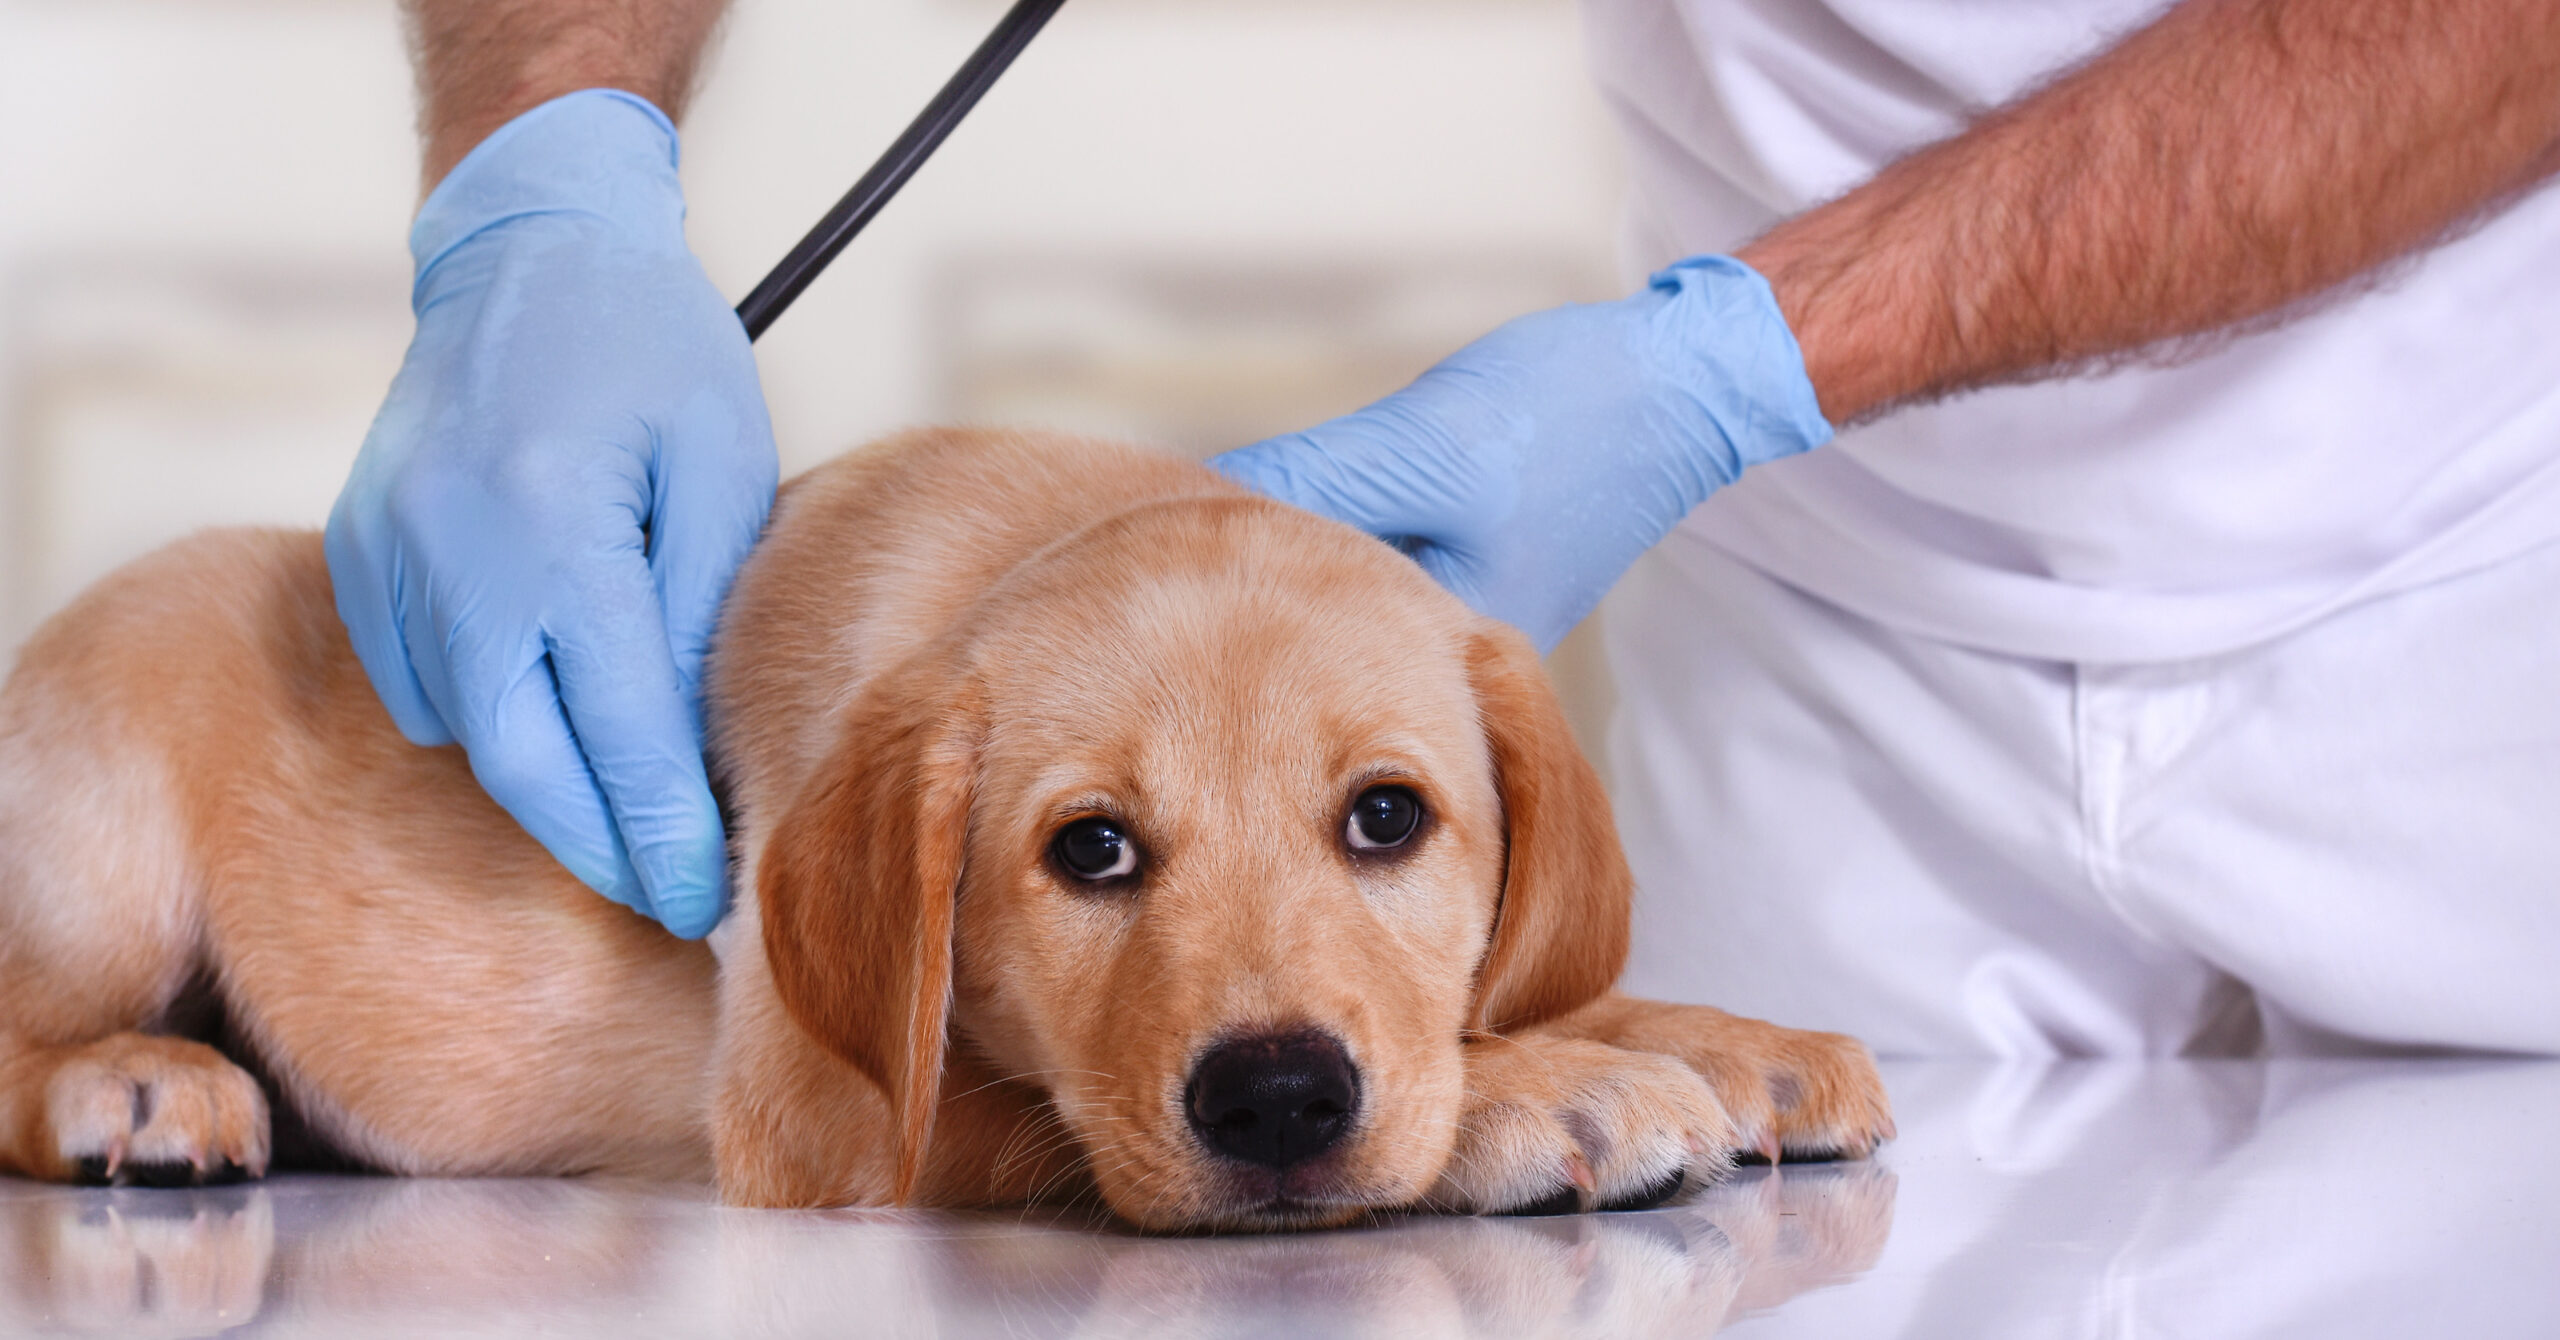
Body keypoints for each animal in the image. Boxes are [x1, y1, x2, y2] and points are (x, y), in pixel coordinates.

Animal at [0, 435, 1884, 1234]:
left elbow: (1526, 992)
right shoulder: (817, 1117)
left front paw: (1720, 1038)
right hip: (109, 829)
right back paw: (143, 1084)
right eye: (1090, 852)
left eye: (1388, 819)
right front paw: (1544, 1094)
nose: (1278, 1101)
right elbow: (1038, 1109)